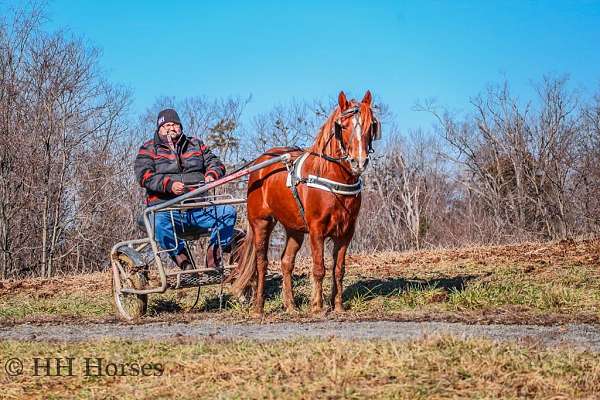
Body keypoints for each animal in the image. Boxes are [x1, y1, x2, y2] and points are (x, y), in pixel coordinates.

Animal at [230, 90, 380, 316]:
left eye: (371, 125)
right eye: (342, 126)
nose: (359, 162)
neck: (332, 176)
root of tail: (260, 164)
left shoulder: (346, 231)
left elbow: (339, 269)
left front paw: (338, 306)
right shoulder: (317, 229)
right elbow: (319, 268)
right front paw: (317, 306)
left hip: (295, 229)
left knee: (286, 262)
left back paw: (291, 305)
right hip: (261, 222)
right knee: (261, 263)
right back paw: (258, 307)